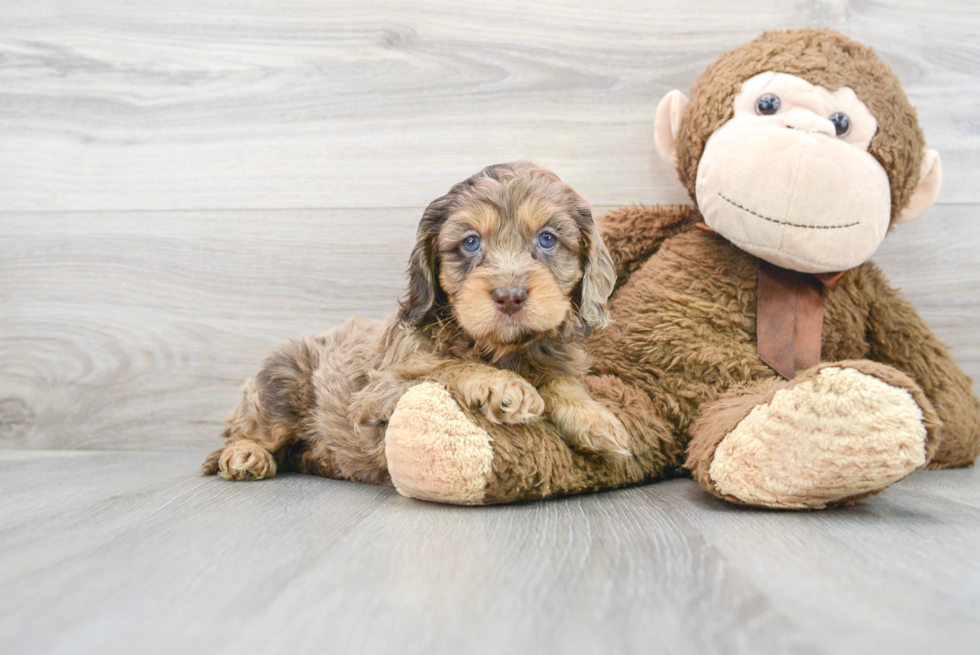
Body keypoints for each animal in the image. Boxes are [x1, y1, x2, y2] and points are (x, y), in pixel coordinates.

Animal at [202, 161, 624, 484]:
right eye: (471, 242)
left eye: (548, 239)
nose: (510, 295)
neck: (500, 348)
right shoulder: (377, 395)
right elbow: (444, 368)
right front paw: (502, 385)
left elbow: (562, 382)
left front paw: (596, 419)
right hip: (282, 380)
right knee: (252, 430)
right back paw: (245, 455)